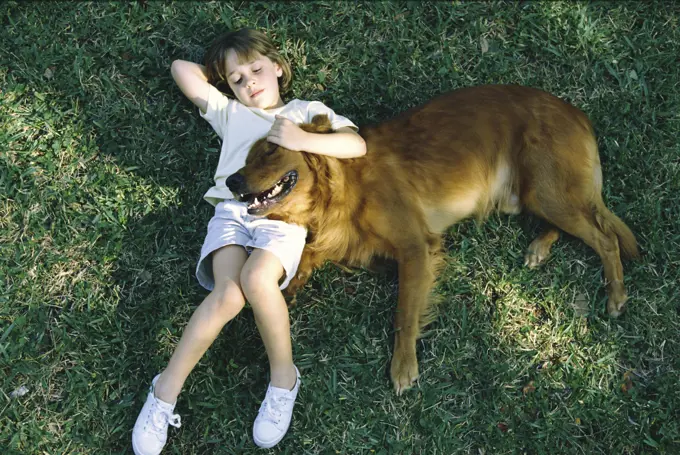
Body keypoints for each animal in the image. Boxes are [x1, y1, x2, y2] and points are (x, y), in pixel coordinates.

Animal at [227, 85, 636, 396]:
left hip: (546, 190)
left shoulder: (414, 248)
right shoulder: (345, 244)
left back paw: (616, 294)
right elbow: (306, 260)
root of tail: (575, 112)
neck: (340, 188)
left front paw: (403, 366)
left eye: (270, 150)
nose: (231, 181)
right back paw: (539, 248)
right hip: (530, 197)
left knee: (604, 237)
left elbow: (404, 313)